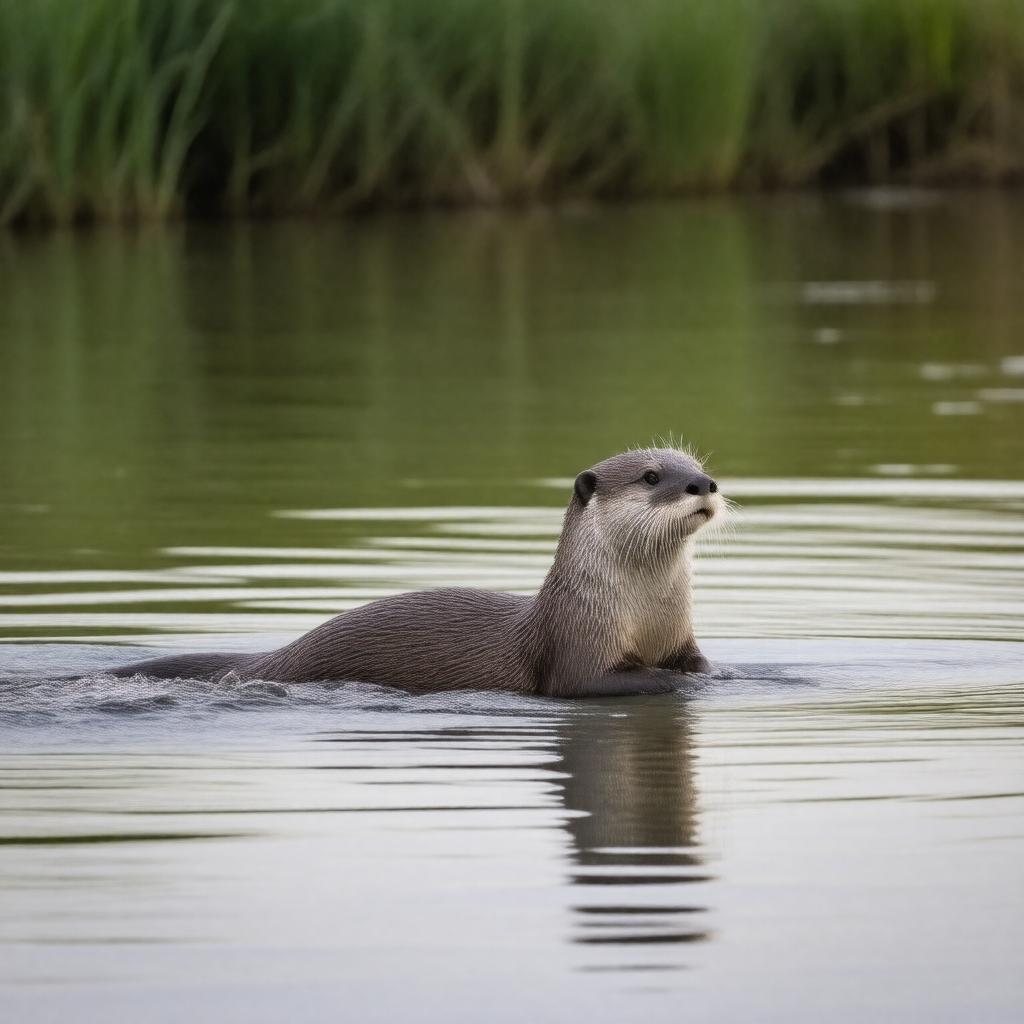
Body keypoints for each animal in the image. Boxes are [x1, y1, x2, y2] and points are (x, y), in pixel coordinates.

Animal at [110, 447, 723, 697]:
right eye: (651, 476)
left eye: (697, 466)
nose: (705, 484)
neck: (645, 615)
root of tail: (272, 657)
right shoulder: (577, 648)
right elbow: (592, 682)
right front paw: (672, 682)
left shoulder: (681, 636)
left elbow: (699, 665)